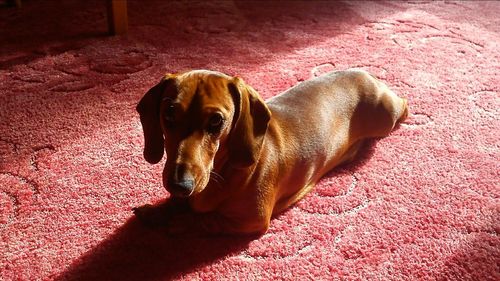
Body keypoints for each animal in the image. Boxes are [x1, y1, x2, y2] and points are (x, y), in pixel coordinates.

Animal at [134, 68, 410, 234]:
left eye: (216, 121)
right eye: (168, 113)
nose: (179, 185)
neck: (226, 172)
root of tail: (366, 74)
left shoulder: (250, 221)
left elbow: (200, 220)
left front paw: (171, 220)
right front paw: (156, 210)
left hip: (386, 117)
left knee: (403, 106)